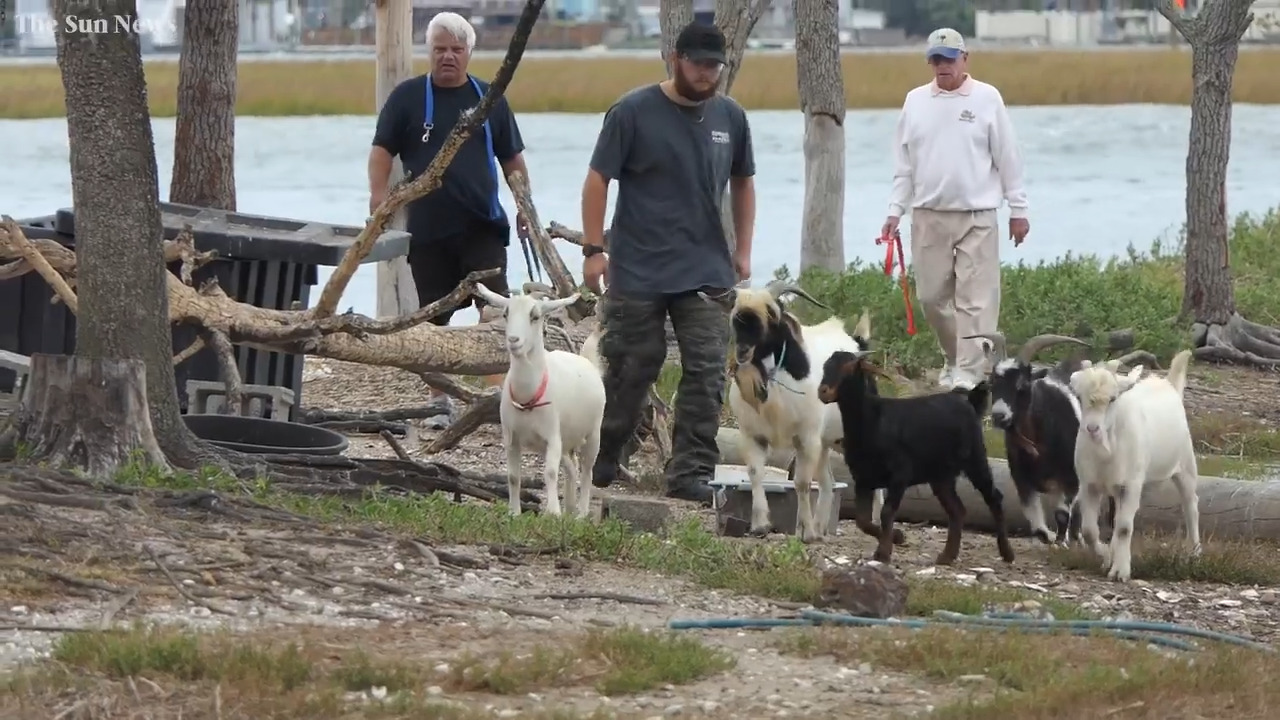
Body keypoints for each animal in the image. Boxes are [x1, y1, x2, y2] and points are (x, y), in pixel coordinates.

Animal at [474, 283, 606, 519]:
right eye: (506, 314)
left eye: (535, 316)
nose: (513, 340)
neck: (527, 398)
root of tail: (587, 360)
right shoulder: (511, 438)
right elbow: (513, 476)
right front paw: (514, 512)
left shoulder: (552, 436)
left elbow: (550, 473)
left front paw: (553, 513)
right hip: (564, 440)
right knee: (571, 467)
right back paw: (570, 508)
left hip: (593, 434)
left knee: (587, 471)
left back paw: (581, 513)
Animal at [718, 280, 869, 542]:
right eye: (734, 311)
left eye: (772, 312)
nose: (743, 350)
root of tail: (857, 342)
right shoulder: (752, 435)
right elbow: (756, 473)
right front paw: (760, 525)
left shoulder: (806, 438)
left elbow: (802, 482)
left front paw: (805, 531)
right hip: (826, 442)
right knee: (828, 482)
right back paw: (821, 529)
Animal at [818, 349, 1016, 566]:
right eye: (825, 366)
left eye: (849, 367)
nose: (823, 391)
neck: (873, 420)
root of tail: (970, 401)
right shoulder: (862, 479)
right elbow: (862, 520)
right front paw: (897, 537)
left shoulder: (900, 474)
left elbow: (886, 512)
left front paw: (884, 552)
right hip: (941, 475)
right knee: (957, 509)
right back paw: (947, 556)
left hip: (975, 458)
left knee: (994, 498)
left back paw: (1007, 553)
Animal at [1069, 349, 1200, 583]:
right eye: (1079, 397)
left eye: (1113, 399)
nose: (1092, 429)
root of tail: (1168, 384)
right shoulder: (1089, 484)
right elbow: (1090, 530)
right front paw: (1106, 557)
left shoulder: (1130, 485)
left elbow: (1123, 528)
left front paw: (1120, 572)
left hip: (1185, 463)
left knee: (1190, 503)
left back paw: (1194, 552)